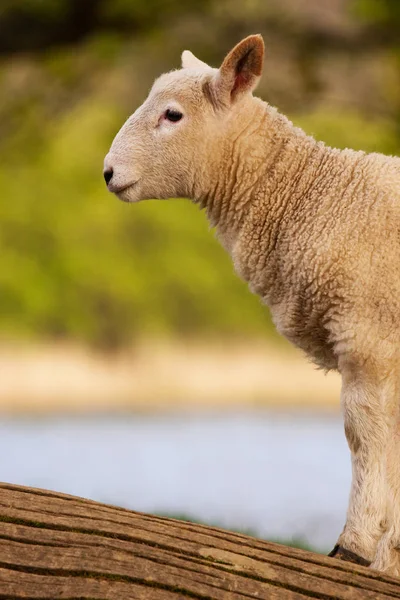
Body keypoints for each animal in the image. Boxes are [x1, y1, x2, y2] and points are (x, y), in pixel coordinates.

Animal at [104, 35, 400, 576]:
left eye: (173, 115)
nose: (108, 173)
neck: (316, 195)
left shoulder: (368, 337)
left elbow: (365, 435)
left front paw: (356, 546)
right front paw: (389, 559)